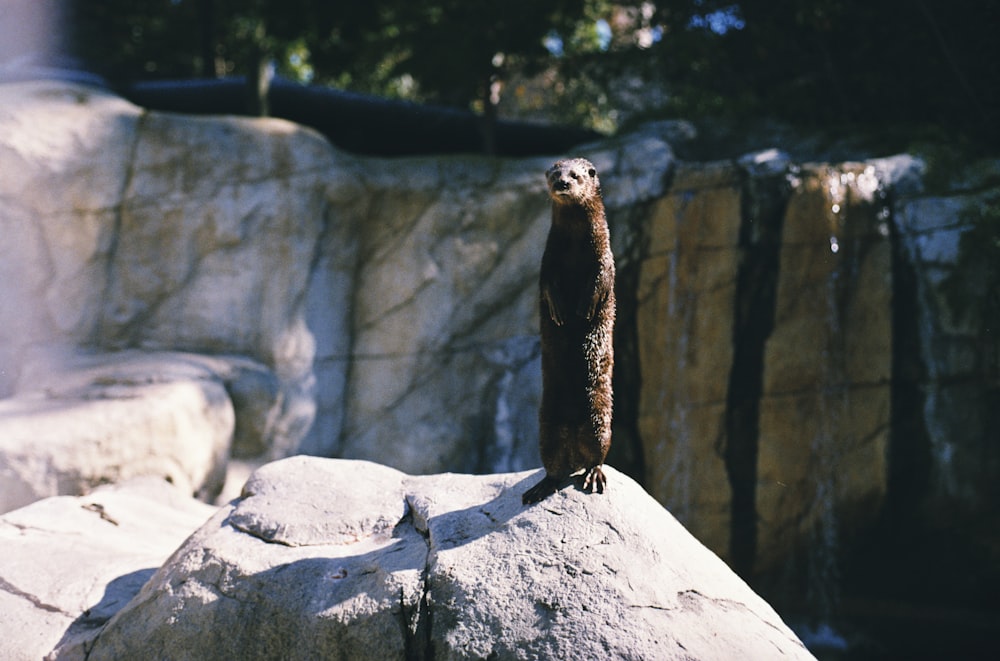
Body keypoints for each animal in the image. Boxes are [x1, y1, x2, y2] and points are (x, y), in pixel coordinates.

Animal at [524, 157, 616, 502]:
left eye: (575, 175)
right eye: (554, 174)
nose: (562, 184)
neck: (576, 241)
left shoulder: (604, 250)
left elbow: (602, 276)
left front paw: (585, 307)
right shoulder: (548, 255)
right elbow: (547, 281)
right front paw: (559, 309)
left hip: (599, 415)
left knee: (598, 453)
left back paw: (593, 475)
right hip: (547, 425)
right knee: (552, 463)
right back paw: (542, 486)